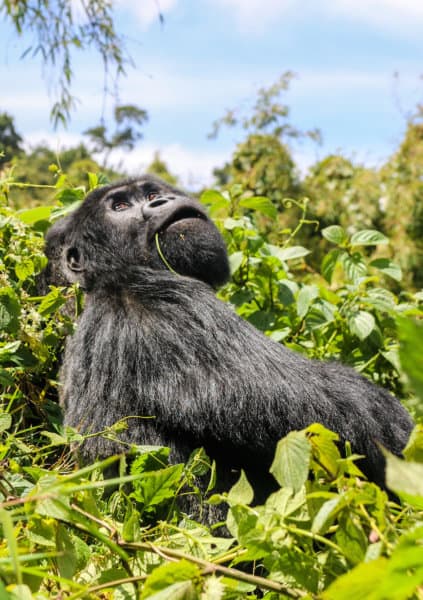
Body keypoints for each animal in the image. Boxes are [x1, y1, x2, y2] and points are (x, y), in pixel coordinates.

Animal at [43, 173, 414, 520]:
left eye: (151, 194)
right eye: (119, 207)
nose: (162, 201)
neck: (101, 279)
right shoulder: (165, 302)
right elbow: (329, 413)